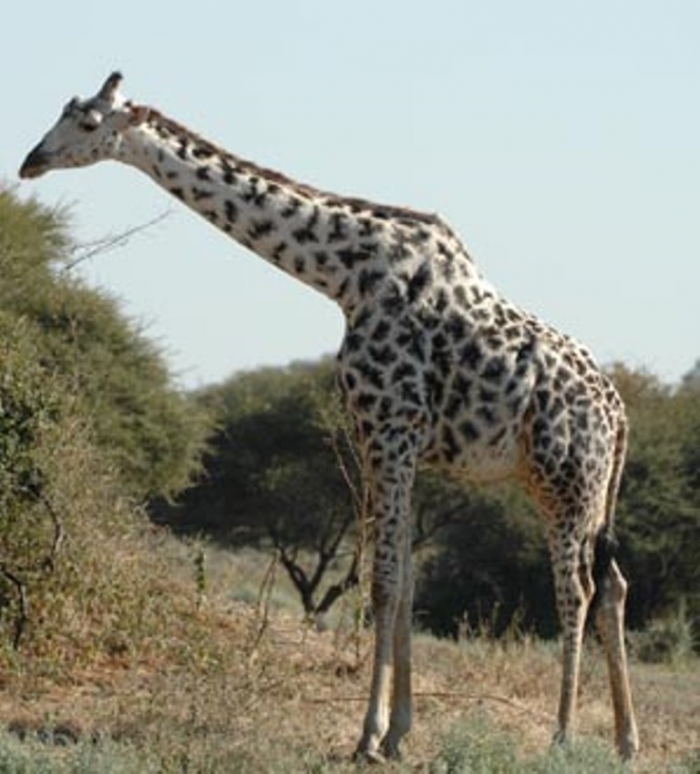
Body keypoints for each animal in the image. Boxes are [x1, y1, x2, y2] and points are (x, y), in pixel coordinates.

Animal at [19, 72, 639, 761]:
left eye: (88, 122)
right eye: (63, 112)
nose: (30, 161)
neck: (345, 276)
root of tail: (620, 419)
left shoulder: (390, 428)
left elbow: (384, 581)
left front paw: (368, 737)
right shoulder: (385, 439)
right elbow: (405, 584)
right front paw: (398, 733)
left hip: (565, 481)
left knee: (577, 589)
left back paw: (562, 736)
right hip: (582, 490)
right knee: (613, 584)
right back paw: (625, 740)